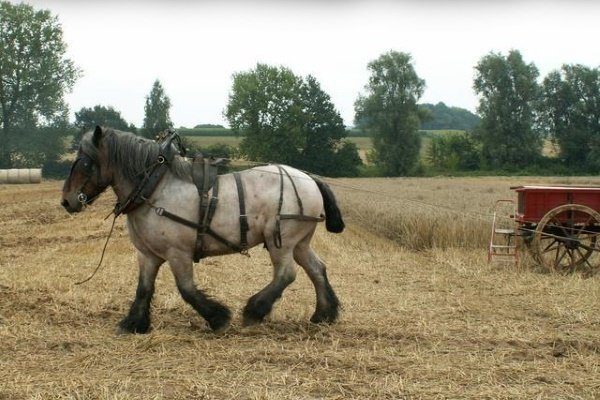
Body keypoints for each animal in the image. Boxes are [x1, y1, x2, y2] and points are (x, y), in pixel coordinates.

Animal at [61, 126, 344, 332]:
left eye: (84, 163)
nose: (66, 201)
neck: (154, 187)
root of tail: (309, 178)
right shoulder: (148, 254)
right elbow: (143, 288)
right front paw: (134, 323)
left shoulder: (178, 253)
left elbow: (186, 289)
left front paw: (218, 318)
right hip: (300, 242)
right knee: (317, 269)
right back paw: (323, 314)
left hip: (281, 240)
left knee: (286, 274)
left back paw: (254, 311)